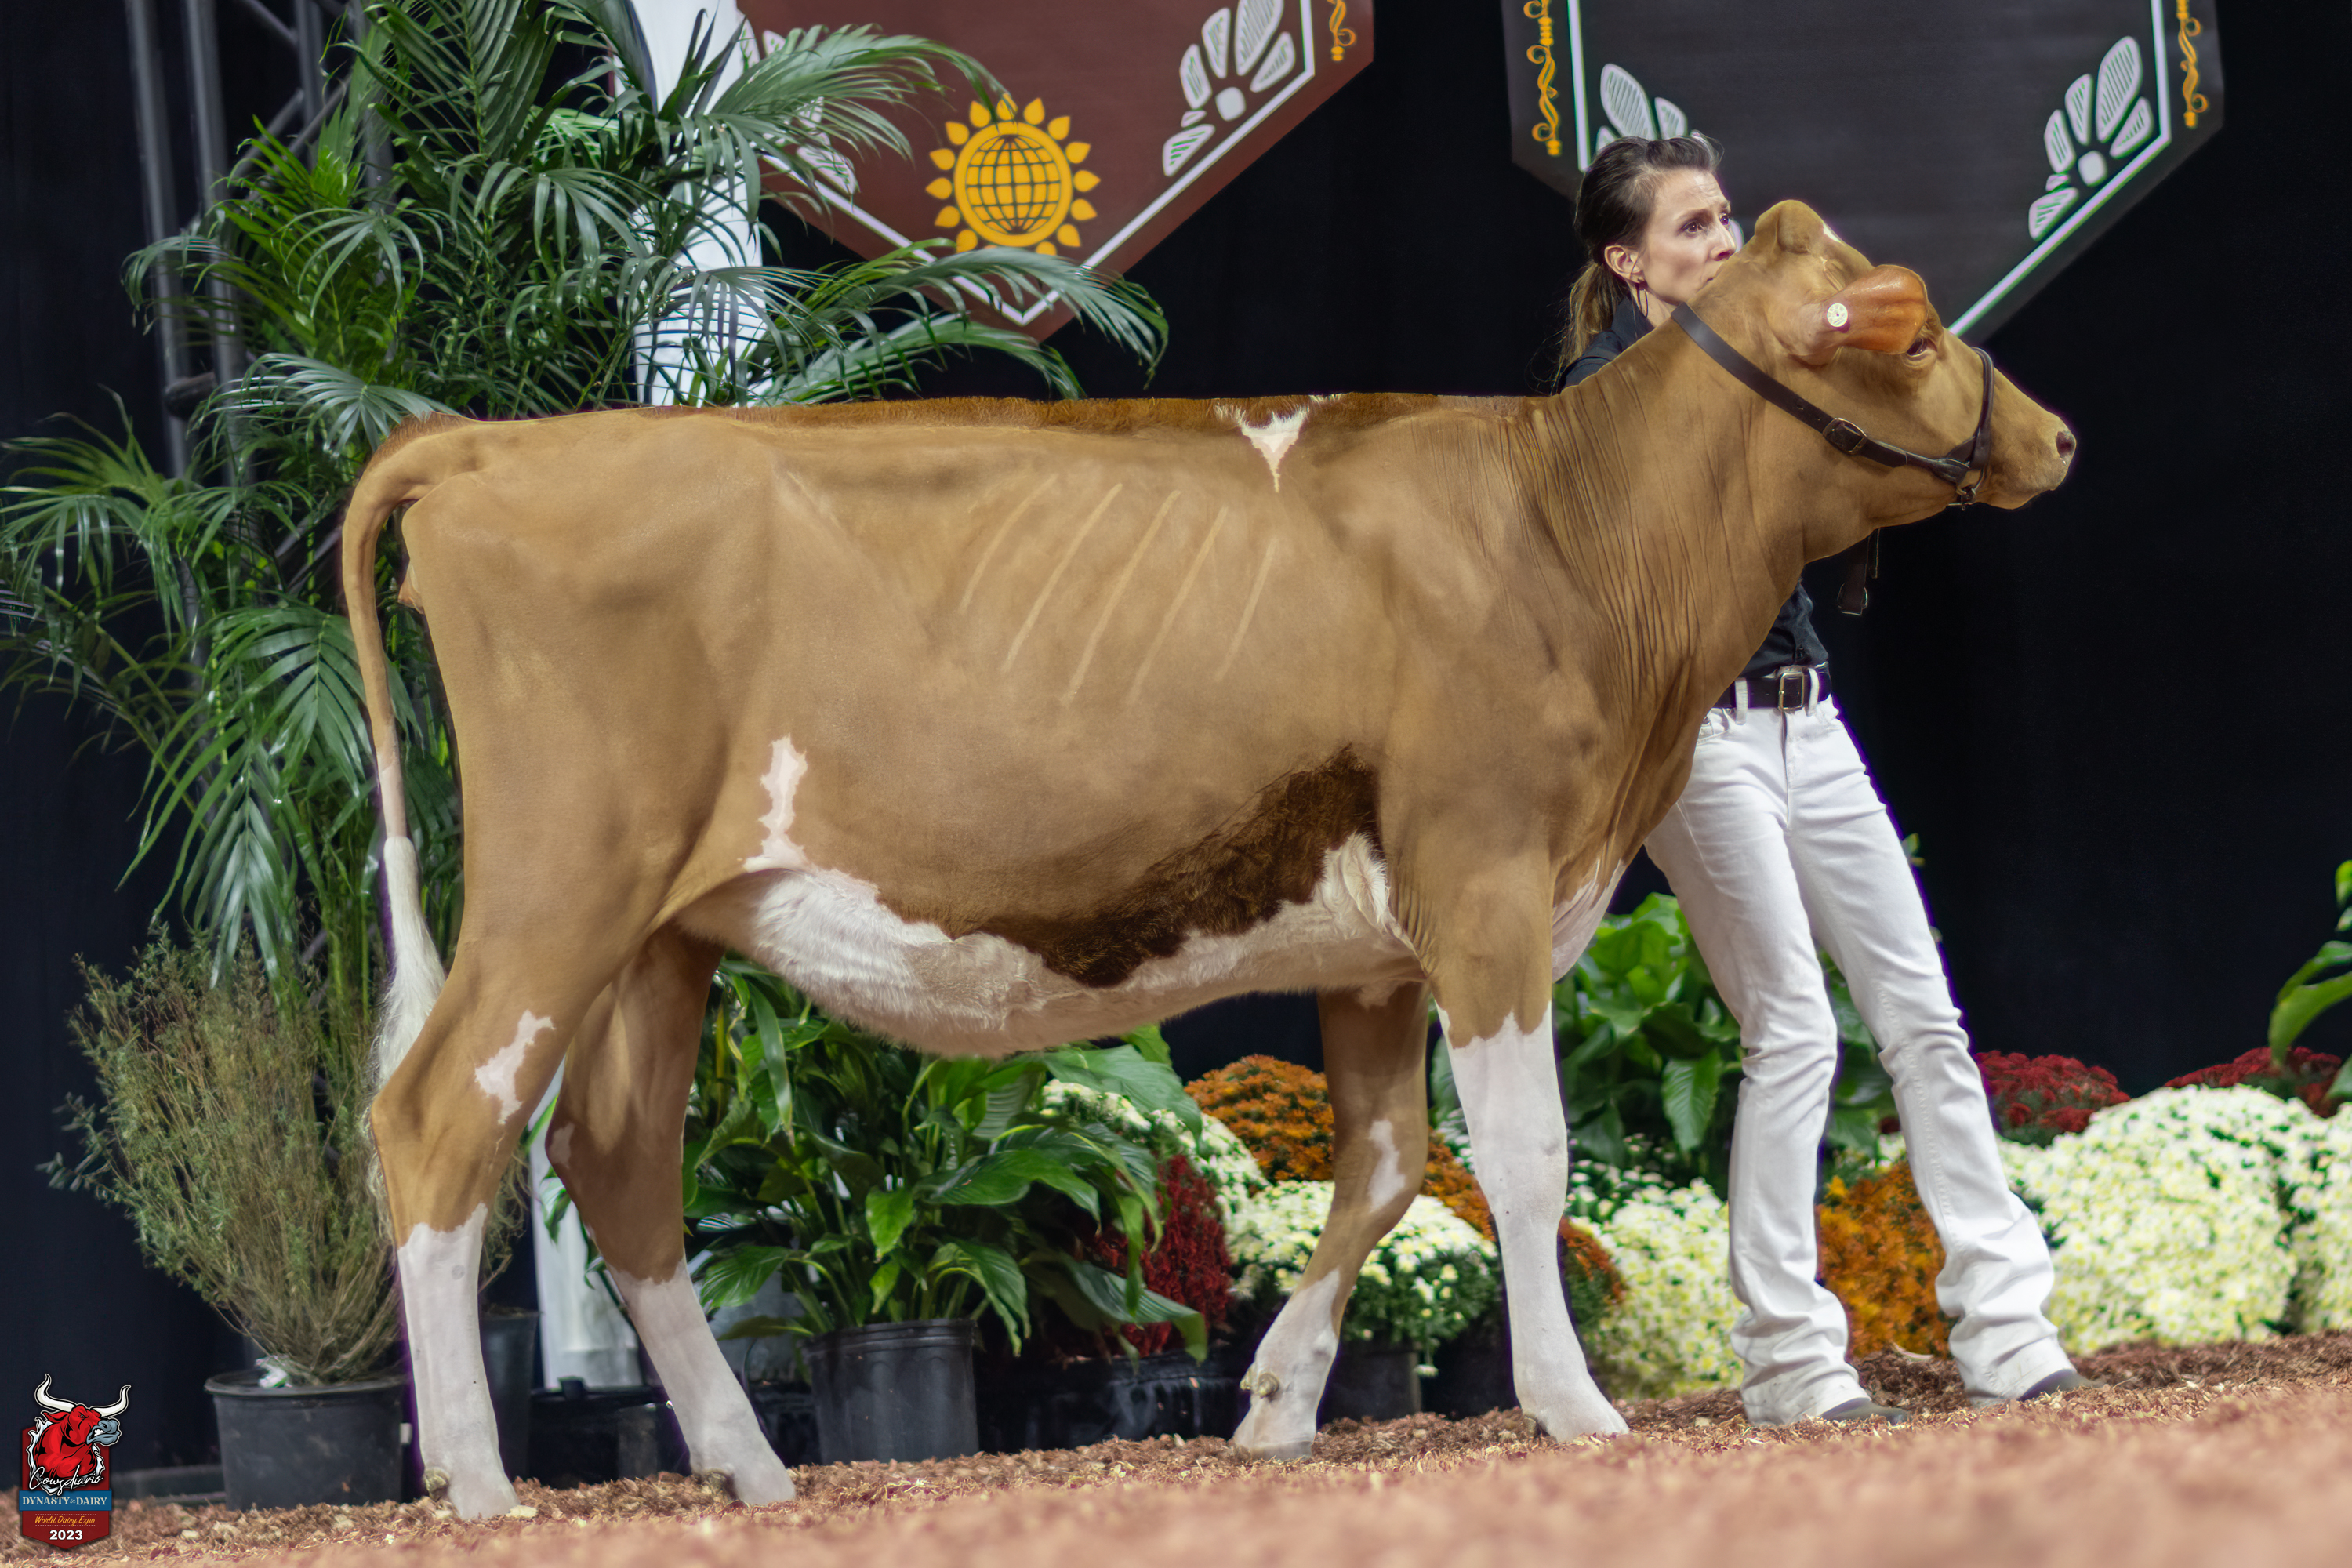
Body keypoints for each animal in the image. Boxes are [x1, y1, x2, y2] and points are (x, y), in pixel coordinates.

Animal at [346, 201, 2074, 1517]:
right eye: (1919, 337)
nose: (2057, 435)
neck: (1567, 532)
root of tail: (489, 449)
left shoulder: (1380, 942)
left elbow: (1386, 1164)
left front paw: (1278, 1404)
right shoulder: (1488, 877)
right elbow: (1524, 1156)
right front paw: (1570, 1401)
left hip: (667, 932)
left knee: (618, 1168)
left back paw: (748, 1466)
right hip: (560, 887)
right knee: (437, 1124)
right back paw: (481, 1487)